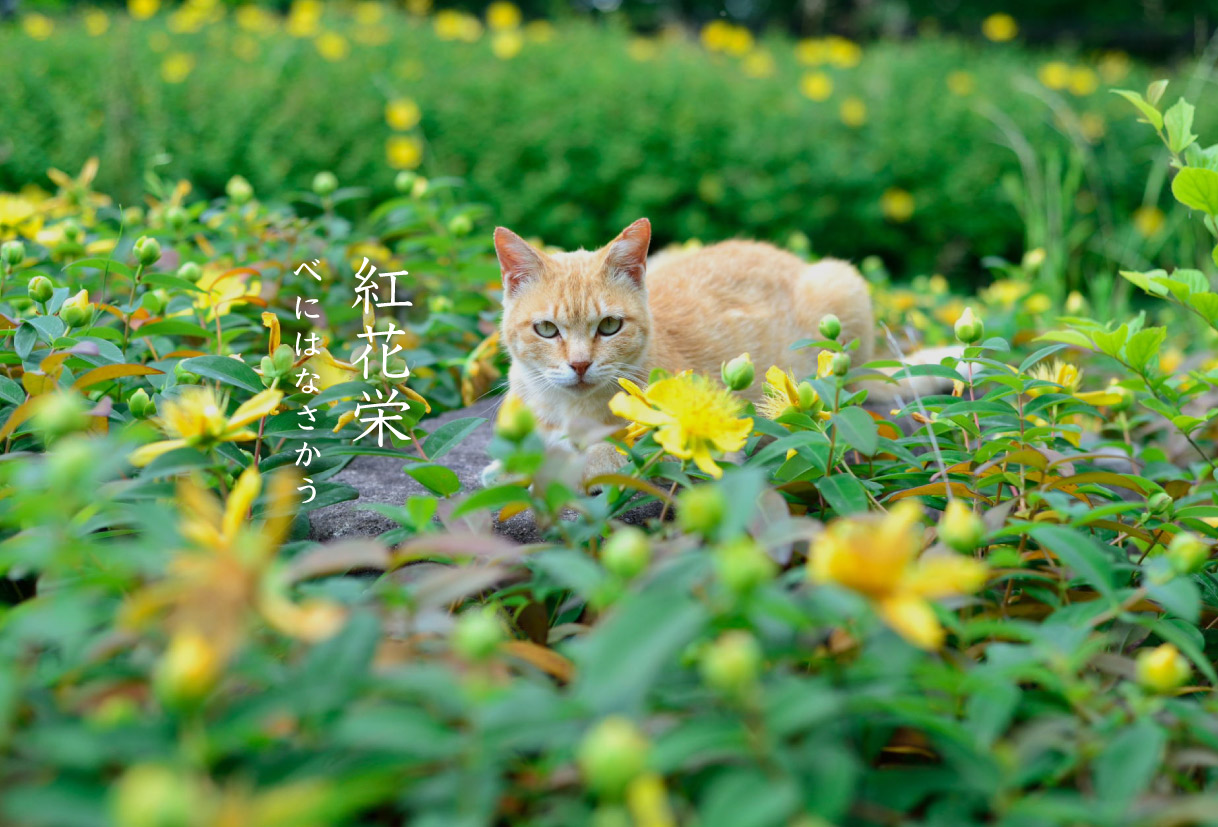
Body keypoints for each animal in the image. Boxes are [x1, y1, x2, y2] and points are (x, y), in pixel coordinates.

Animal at [492, 220, 896, 484]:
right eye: (546, 329)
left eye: (609, 326)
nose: (579, 364)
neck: (569, 411)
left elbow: (591, 458)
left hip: (841, 284)